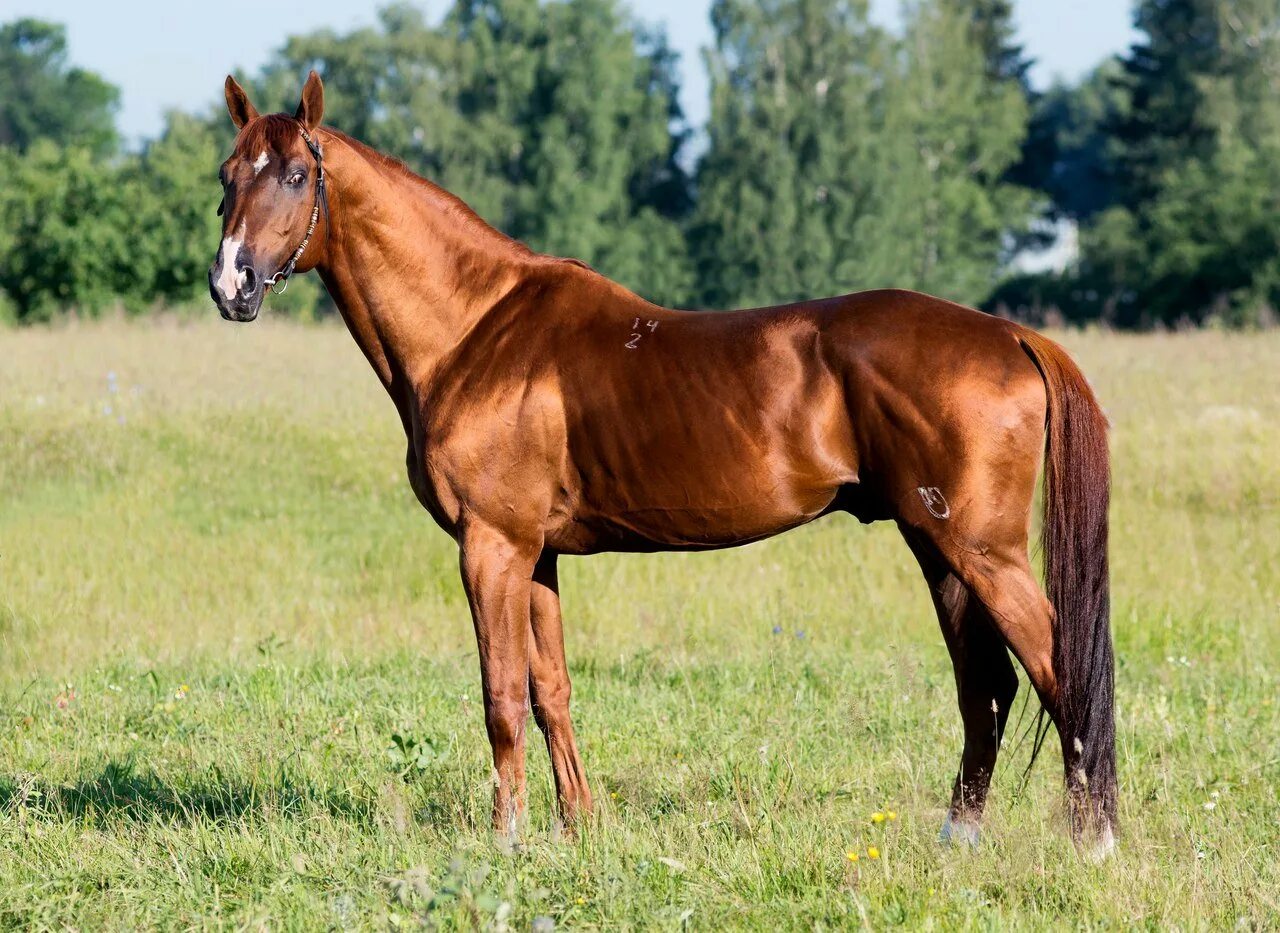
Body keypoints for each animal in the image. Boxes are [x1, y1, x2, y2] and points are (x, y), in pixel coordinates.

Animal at [204, 74, 1116, 849]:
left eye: (295, 175)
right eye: (227, 172)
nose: (230, 284)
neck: (477, 328)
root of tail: (1010, 334)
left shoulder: (492, 546)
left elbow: (501, 693)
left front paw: (506, 839)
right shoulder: (538, 557)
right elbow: (551, 690)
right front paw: (577, 828)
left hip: (982, 552)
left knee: (1056, 670)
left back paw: (1094, 844)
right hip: (939, 549)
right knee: (986, 685)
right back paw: (960, 837)